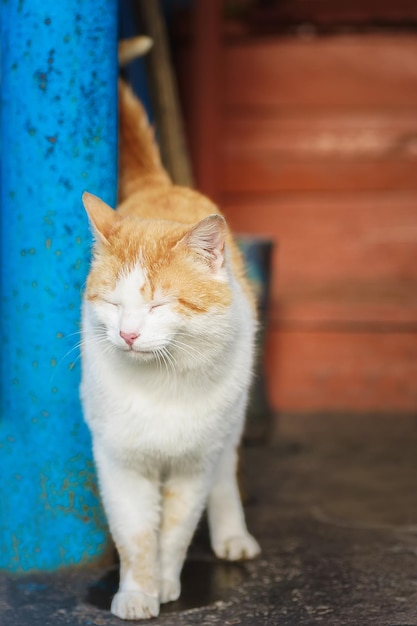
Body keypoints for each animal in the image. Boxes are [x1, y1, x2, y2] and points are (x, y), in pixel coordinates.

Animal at [79, 79, 258, 620]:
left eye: (158, 305)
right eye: (113, 303)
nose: (128, 335)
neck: (162, 381)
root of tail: (162, 187)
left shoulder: (193, 466)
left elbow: (175, 532)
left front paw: (165, 582)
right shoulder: (119, 463)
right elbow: (136, 535)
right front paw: (137, 593)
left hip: (229, 424)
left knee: (225, 477)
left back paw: (232, 535)